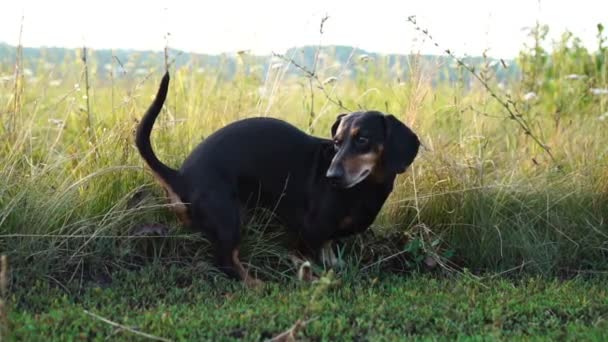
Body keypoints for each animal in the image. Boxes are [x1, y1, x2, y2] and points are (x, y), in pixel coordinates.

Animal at [136, 73, 420, 286]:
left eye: (362, 139)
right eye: (338, 142)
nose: (332, 176)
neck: (364, 188)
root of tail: (180, 176)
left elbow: (328, 247)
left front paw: (334, 264)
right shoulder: (309, 231)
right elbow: (307, 258)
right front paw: (315, 279)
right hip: (229, 219)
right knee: (227, 261)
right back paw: (256, 284)